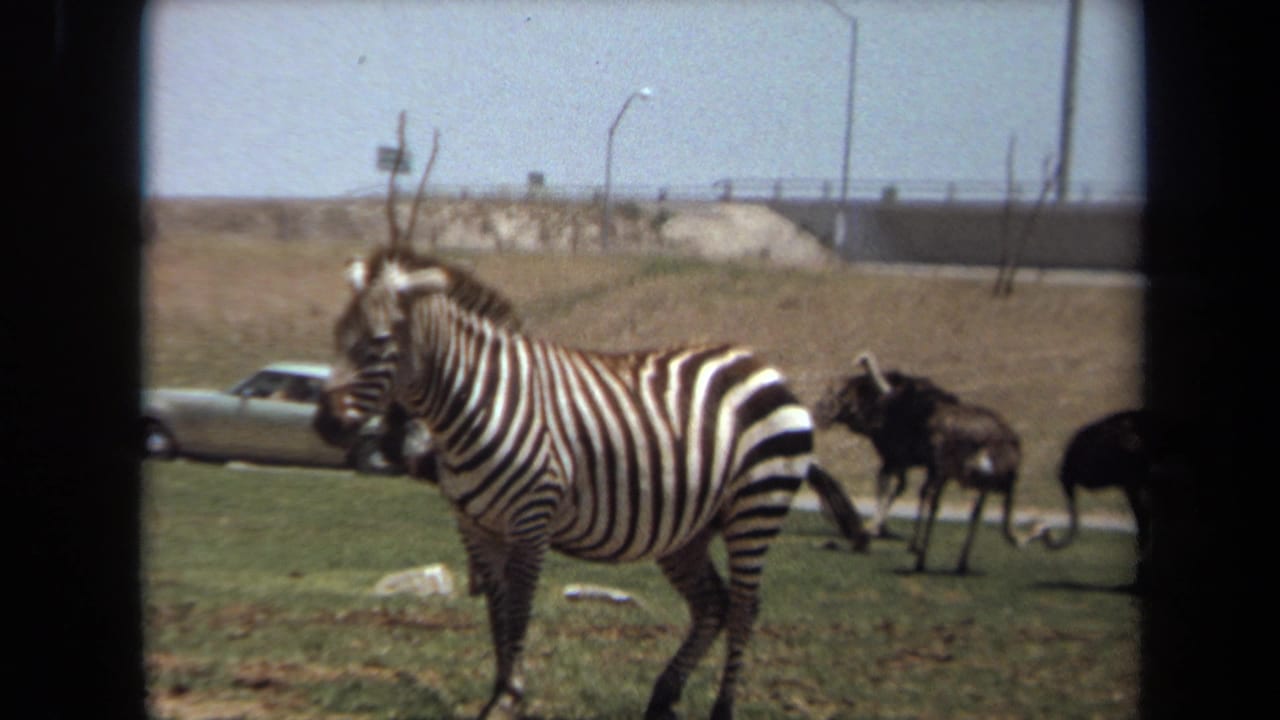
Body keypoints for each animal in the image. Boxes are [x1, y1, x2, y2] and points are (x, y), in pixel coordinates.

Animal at [313, 246, 839, 720]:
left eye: (380, 343)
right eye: (337, 337)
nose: (323, 426)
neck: (474, 403)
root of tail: (761, 365)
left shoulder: (531, 518)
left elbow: (519, 609)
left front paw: (510, 699)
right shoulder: (476, 526)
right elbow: (496, 613)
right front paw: (498, 694)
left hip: (756, 505)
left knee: (745, 608)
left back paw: (722, 708)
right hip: (688, 531)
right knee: (713, 605)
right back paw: (662, 698)